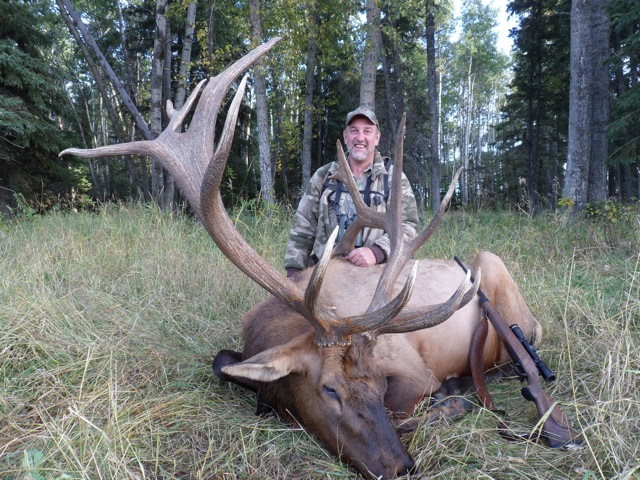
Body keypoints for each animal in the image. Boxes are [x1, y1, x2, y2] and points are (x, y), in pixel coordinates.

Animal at [60, 38, 580, 479]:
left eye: (378, 383)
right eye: (329, 388)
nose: (400, 467)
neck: (270, 324)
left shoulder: (415, 372)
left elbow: (410, 407)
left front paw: (453, 400)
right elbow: (221, 362)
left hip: (497, 277)